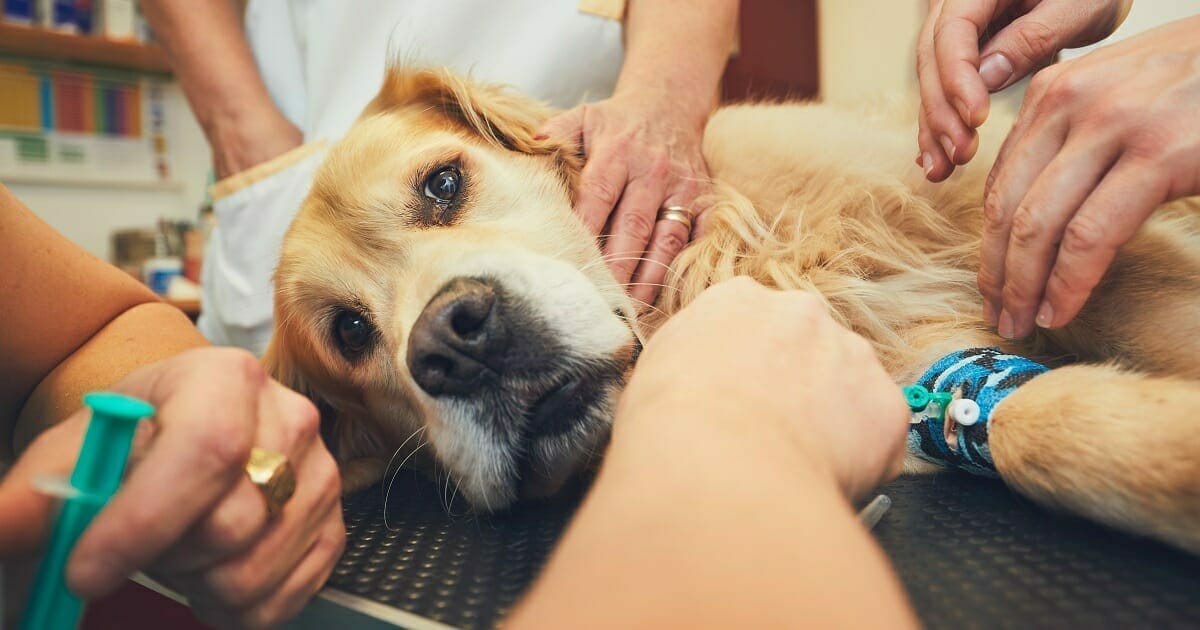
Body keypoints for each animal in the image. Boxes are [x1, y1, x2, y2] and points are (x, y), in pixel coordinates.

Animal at [267, 66, 1200, 552]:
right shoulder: (923, 380)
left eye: (442, 184)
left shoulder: (1024, 223)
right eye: (350, 333)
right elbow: (1035, 425)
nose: (455, 343)